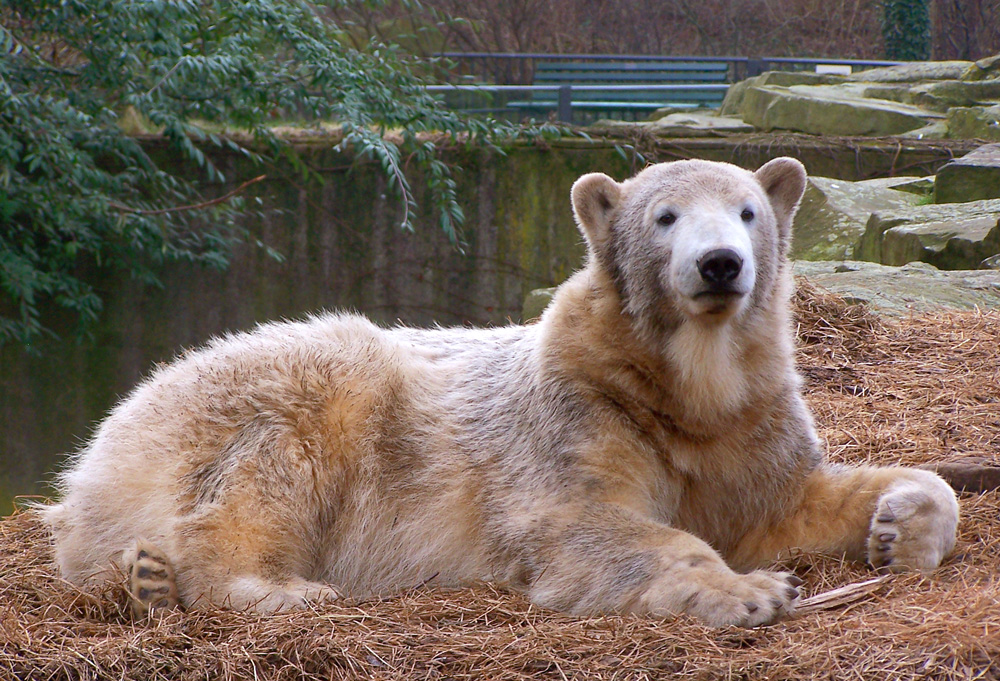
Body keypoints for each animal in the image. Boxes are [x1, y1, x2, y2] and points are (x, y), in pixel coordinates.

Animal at [41, 158, 960, 628]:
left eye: (747, 211)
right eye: (664, 216)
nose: (719, 265)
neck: (680, 389)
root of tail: (98, 452)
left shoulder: (747, 426)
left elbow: (791, 497)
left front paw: (898, 526)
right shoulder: (572, 417)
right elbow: (583, 524)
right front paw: (752, 590)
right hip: (273, 395)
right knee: (278, 460)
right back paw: (264, 587)